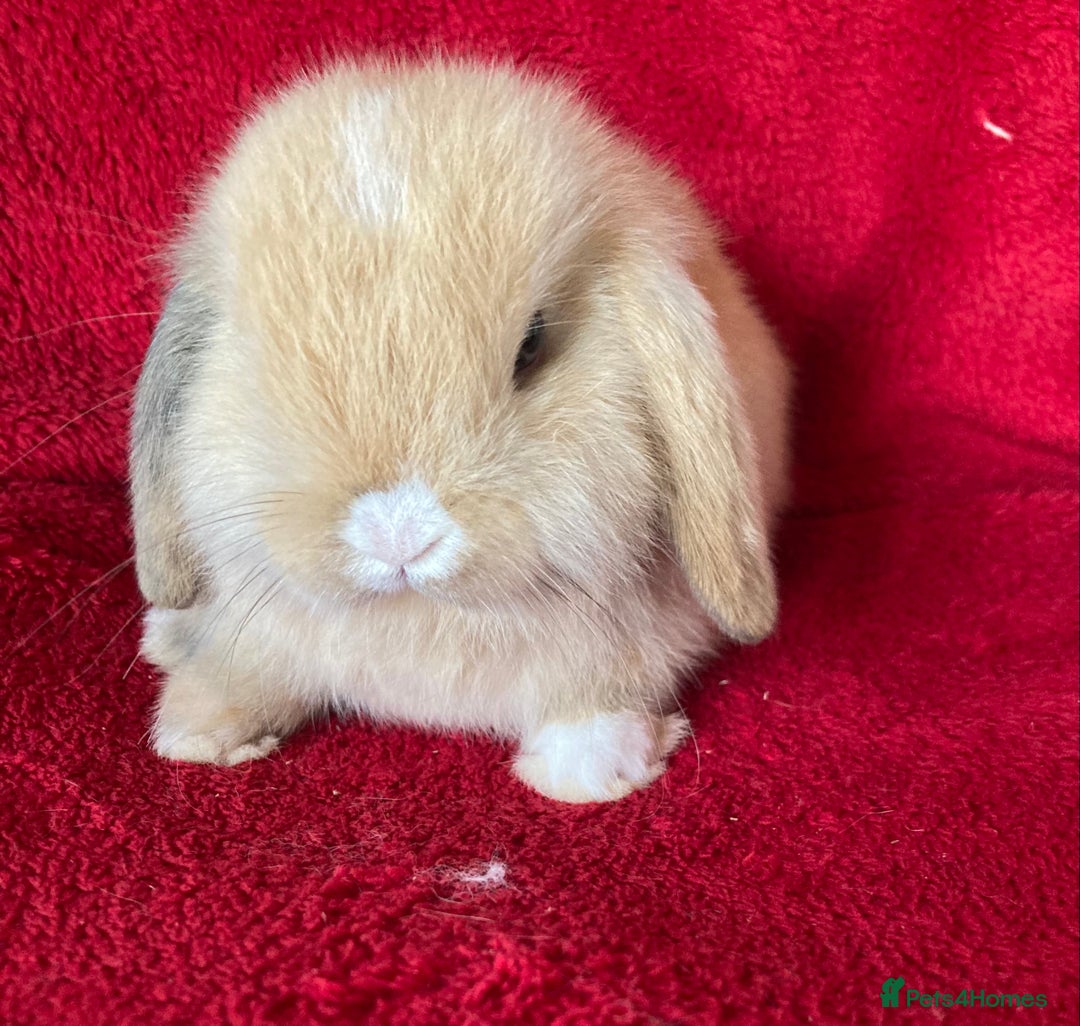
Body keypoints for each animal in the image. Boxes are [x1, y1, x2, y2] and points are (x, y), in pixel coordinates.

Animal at [131, 57, 792, 803]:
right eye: (256, 354)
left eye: (532, 346)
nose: (396, 534)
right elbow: (253, 667)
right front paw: (197, 731)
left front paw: (589, 766)